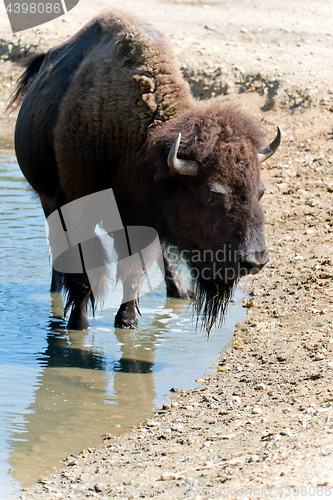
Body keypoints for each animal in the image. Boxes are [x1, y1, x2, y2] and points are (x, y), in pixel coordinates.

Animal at [9, 7, 280, 332]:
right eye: (210, 196)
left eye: (260, 192)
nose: (256, 259)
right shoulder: (82, 209)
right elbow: (86, 273)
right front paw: (79, 325)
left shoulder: (140, 221)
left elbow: (134, 270)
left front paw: (126, 321)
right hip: (48, 198)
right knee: (58, 248)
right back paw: (56, 291)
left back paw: (180, 290)